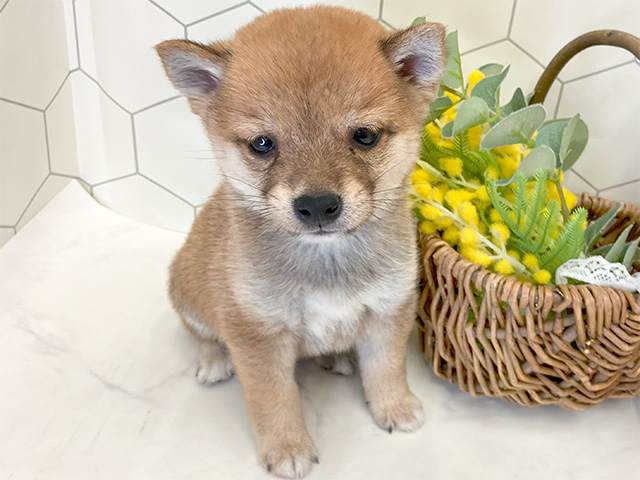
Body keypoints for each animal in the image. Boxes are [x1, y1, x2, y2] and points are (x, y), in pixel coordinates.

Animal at [156, 6, 444, 476]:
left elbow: (386, 370)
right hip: (187, 296)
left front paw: (394, 407)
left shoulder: (389, 312)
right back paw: (214, 360)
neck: (327, 261)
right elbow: (274, 401)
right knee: (204, 335)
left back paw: (335, 356)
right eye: (262, 143)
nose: (318, 205)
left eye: (365, 135)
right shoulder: (256, 334)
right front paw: (288, 448)